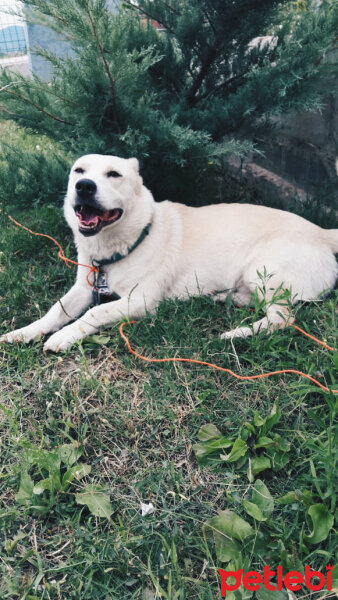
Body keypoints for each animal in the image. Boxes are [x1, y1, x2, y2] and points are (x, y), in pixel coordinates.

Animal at [0, 155, 338, 352]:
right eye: (78, 171)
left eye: (114, 174)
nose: (83, 186)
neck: (127, 241)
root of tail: (323, 231)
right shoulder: (84, 288)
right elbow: (55, 310)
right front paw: (25, 332)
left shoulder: (141, 301)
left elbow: (95, 313)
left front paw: (63, 336)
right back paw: (224, 298)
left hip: (264, 269)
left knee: (283, 318)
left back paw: (237, 334)